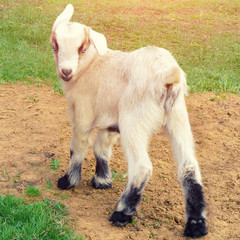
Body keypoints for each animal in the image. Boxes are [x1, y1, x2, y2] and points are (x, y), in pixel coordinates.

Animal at [51, 4, 208, 238]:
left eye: (82, 48)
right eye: (55, 46)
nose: (66, 72)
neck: (90, 67)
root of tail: (167, 77)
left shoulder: (83, 115)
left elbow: (78, 147)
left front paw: (68, 181)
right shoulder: (110, 123)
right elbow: (101, 148)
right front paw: (102, 181)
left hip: (134, 121)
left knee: (141, 167)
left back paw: (122, 213)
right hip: (178, 116)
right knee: (189, 166)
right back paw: (196, 225)